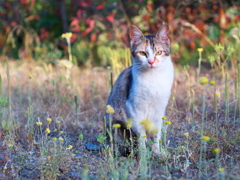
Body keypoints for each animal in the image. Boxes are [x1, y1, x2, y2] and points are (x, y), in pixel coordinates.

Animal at [104, 23, 173, 157]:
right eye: (142, 53)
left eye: (159, 52)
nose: (151, 61)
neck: (153, 78)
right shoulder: (134, 107)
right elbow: (142, 135)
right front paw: (144, 155)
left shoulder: (159, 109)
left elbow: (155, 134)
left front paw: (157, 153)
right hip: (116, 124)